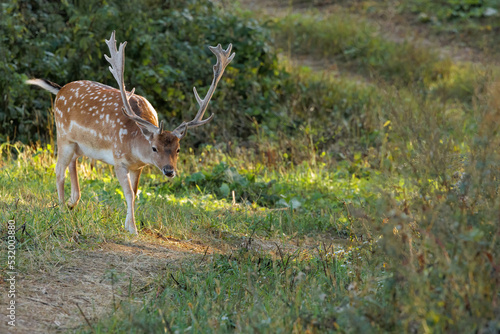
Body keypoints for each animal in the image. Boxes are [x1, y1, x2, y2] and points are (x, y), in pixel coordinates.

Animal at [28, 32, 235, 235]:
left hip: (78, 145)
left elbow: (135, 194)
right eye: (154, 148)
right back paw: (62, 208)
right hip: (63, 135)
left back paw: (72, 202)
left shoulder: (138, 167)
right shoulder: (118, 160)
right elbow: (128, 193)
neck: (134, 142)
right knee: (58, 170)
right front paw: (133, 229)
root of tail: (60, 89)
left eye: (178, 149)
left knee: (72, 163)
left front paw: (128, 225)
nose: (169, 171)